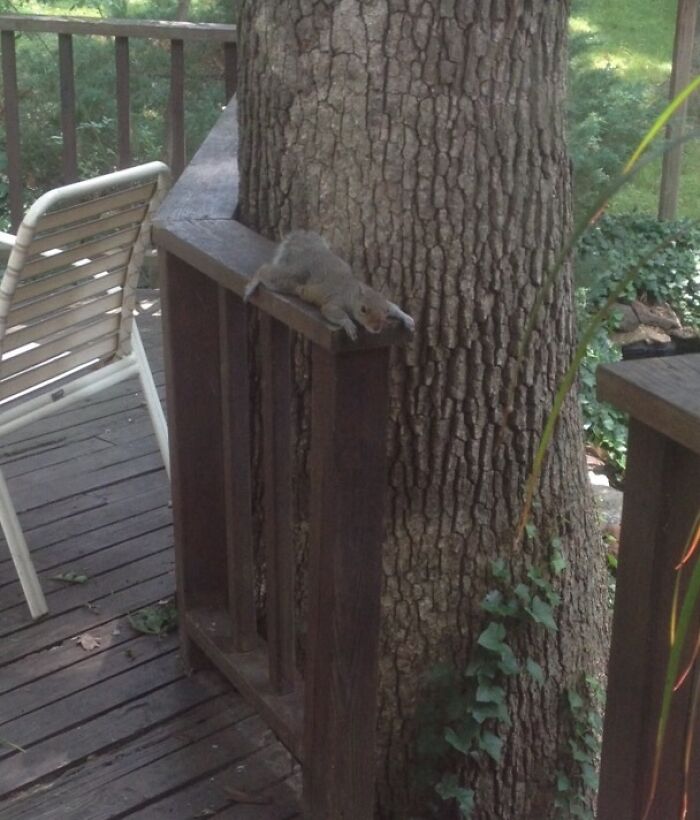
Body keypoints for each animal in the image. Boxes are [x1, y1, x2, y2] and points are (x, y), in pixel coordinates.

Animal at [243, 229, 412, 338]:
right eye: (363, 309)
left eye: (385, 311)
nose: (376, 328)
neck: (351, 295)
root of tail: (309, 253)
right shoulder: (335, 301)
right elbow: (331, 311)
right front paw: (348, 324)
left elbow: (394, 307)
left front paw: (406, 318)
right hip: (288, 279)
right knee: (265, 271)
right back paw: (252, 284)